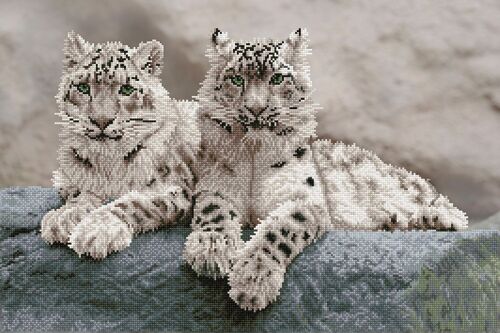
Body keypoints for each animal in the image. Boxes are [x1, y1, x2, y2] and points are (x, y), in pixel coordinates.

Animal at [40, 32, 199, 258]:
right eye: (83, 87)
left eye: (126, 89)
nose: (101, 120)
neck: (108, 165)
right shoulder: (78, 182)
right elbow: (83, 194)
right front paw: (63, 217)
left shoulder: (175, 188)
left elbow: (135, 202)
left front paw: (95, 232)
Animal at [185, 28, 468, 312]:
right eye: (236, 78)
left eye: (277, 78)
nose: (256, 108)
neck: (255, 153)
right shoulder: (217, 185)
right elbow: (214, 211)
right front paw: (211, 251)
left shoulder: (306, 198)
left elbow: (279, 229)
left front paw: (253, 280)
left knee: (448, 209)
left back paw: (436, 218)